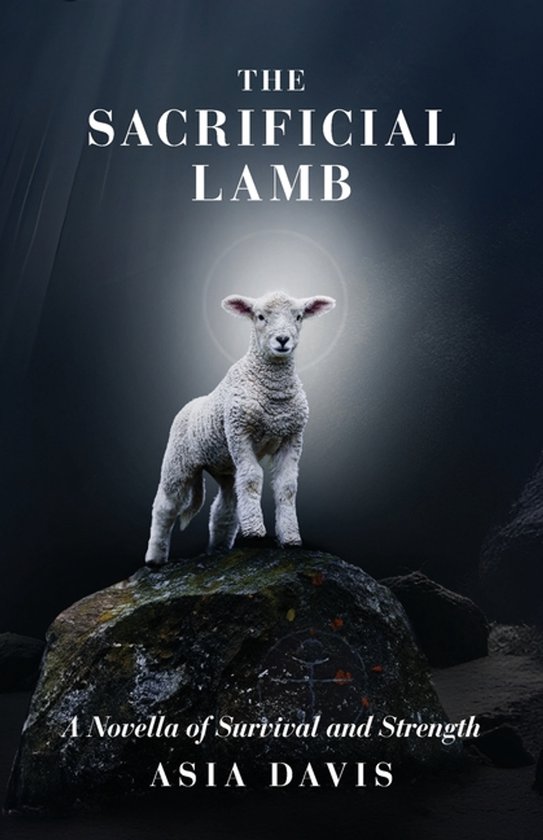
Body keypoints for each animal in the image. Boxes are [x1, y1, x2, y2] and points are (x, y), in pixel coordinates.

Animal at [145, 290, 336, 566]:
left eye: (299, 316)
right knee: (166, 505)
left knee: (225, 506)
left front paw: (290, 538)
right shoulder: (239, 431)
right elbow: (253, 479)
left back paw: (218, 549)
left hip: (225, 466)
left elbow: (287, 487)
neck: (274, 393)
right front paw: (256, 532)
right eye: (260, 316)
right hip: (178, 461)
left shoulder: (292, 437)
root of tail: (190, 404)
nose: (282, 340)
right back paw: (155, 558)